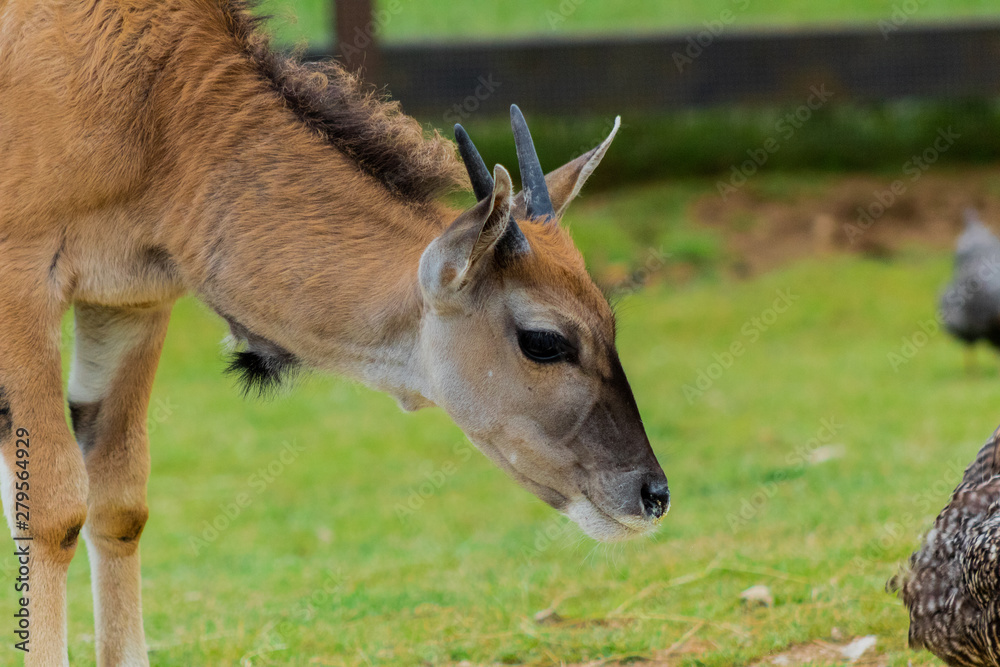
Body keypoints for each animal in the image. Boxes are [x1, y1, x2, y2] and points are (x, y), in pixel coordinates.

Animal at [0, 0, 670, 664]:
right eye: (544, 341)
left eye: (609, 318)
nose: (653, 494)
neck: (159, 111)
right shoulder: (23, 289)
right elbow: (52, 508)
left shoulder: (130, 303)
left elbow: (119, 504)